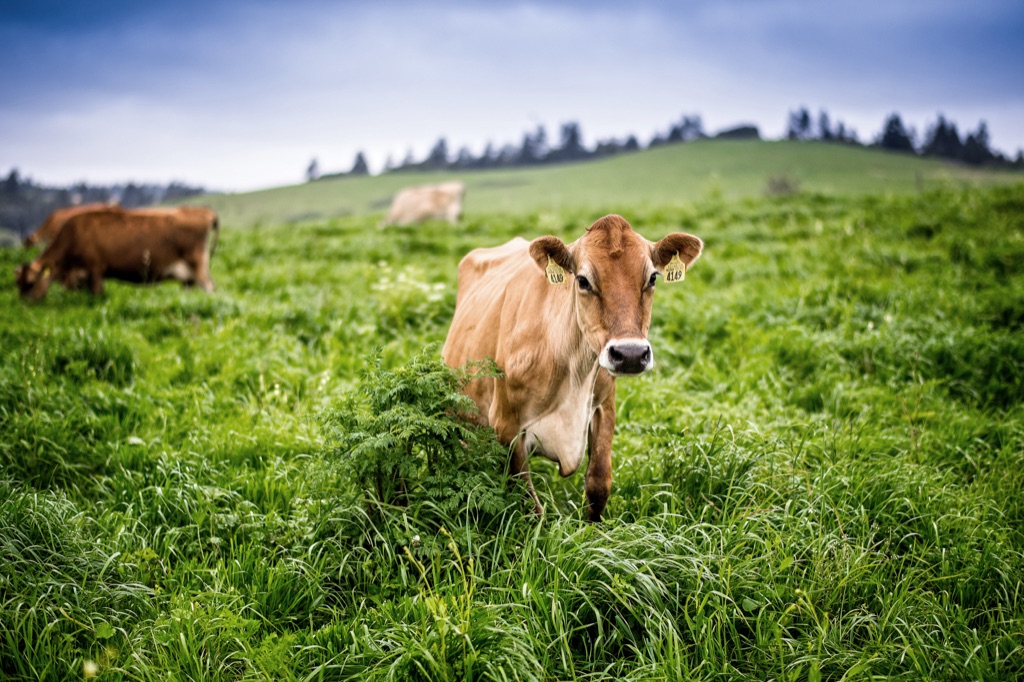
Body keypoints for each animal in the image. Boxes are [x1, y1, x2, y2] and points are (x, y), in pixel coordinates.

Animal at [15, 206, 219, 300]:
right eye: (18, 283)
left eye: (31, 283)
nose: (25, 304)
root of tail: (205, 212)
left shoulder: (96, 270)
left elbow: (96, 294)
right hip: (188, 278)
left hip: (198, 268)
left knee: (210, 288)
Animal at [442, 214, 703, 522]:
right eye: (583, 280)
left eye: (651, 278)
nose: (630, 354)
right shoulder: (505, 426)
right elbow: (529, 504)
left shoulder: (604, 407)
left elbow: (599, 483)